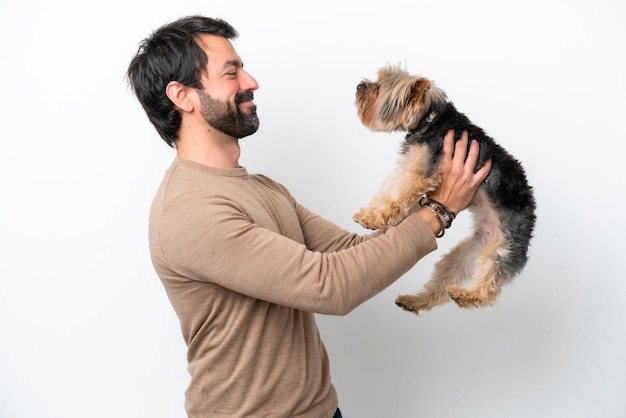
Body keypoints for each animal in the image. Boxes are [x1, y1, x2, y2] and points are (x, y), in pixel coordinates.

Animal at [354, 64, 532, 314]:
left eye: (379, 87)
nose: (359, 86)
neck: (430, 120)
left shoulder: (421, 172)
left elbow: (398, 193)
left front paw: (372, 218)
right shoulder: (410, 165)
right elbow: (389, 190)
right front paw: (371, 214)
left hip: (504, 247)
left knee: (489, 286)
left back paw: (466, 295)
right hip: (463, 256)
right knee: (441, 283)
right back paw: (413, 301)